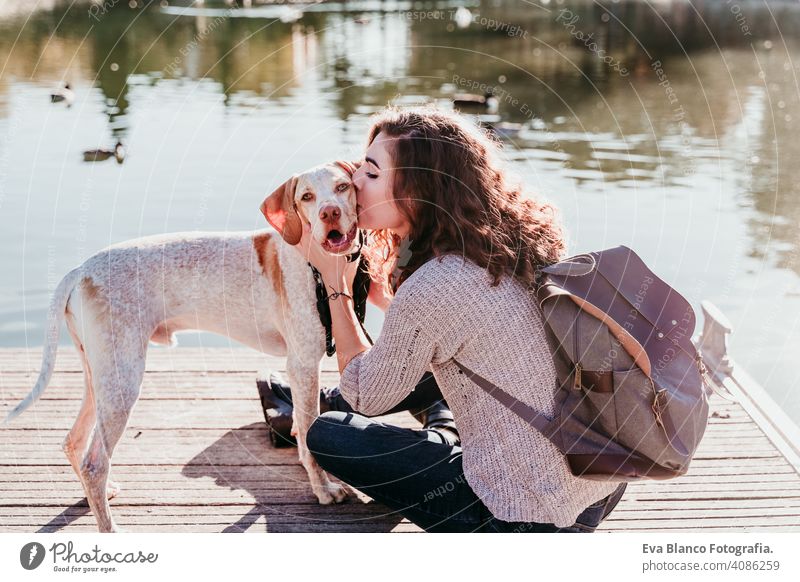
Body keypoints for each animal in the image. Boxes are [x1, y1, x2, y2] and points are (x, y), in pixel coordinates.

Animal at [3, 160, 368, 532]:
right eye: (306, 197)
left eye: (342, 187)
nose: (329, 213)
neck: (313, 263)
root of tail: (79, 271)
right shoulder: (303, 364)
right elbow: (309, 435)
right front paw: (323, 490)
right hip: (122, 381)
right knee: (94, 462)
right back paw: (110, 528)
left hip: (99, 377)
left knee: (74, 441)